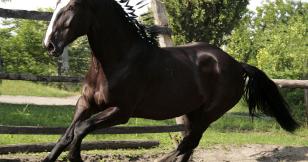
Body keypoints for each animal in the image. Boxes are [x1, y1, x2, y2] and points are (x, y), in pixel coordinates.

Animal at [42, 0, 298, 161]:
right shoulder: (86, 103)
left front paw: (75, 157)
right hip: (193, 113)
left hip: (209, 114)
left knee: (188, 144)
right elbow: (66, 135)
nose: (50, 45)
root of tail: (237, 64)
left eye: (72, 6)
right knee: (189, 145)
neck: (118, 62)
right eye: (56, 5)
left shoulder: (121, 112)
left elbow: (81, 129)